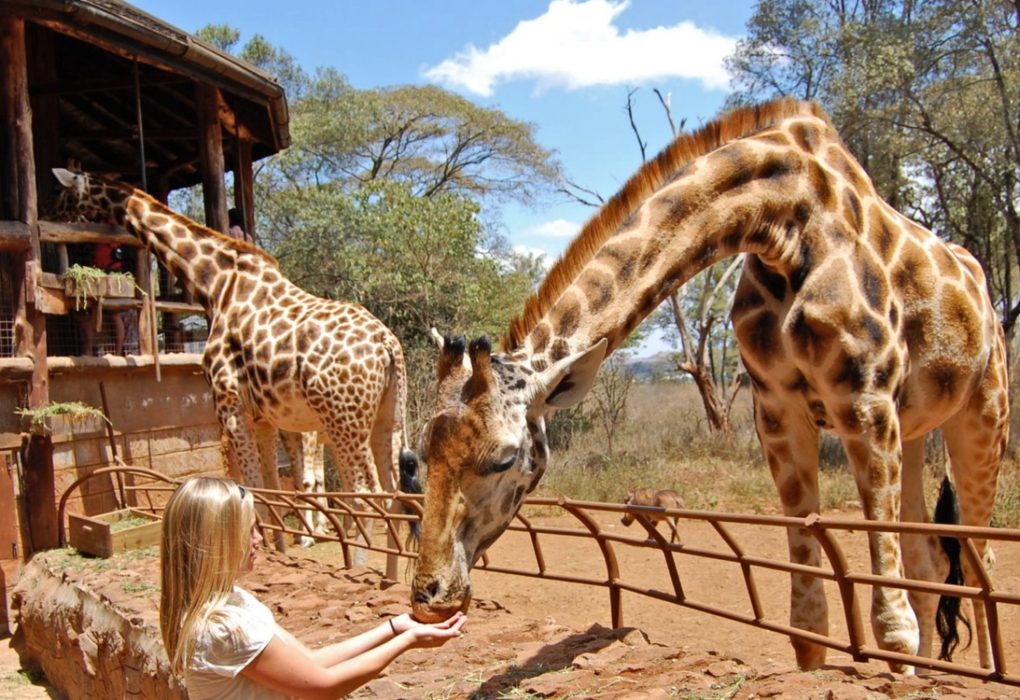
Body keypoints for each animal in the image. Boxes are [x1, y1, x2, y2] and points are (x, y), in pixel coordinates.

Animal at [51, 168, 418, 554]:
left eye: (62, 194)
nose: (54, 217)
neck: (215, 285)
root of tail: (387, 343)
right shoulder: (265, 417)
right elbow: (272, 486)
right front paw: (279, 544)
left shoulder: (228, 406)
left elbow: (253, 487)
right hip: (387, 416)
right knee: (396, 492)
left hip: (343, 420)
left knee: (368, 494)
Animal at [409, 99, 1008, 674]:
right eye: (421, 455)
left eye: (505, 458)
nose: (430, 597)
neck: (785, 223)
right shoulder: (778, 412)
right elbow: (808, 618)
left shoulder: (864, 400)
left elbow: (892, 621)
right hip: (915, 428)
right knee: (929, 555)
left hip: (981, 416)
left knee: (983, 562)